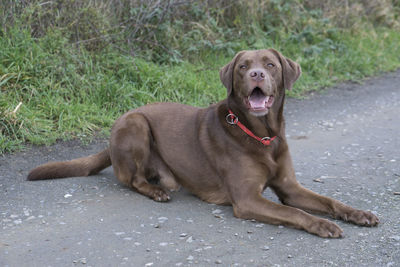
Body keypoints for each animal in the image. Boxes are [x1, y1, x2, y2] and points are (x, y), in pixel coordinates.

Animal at [28, 49, 378, 238]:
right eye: (243, 66)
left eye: (271, 64)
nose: (256, 75)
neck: (261, 135)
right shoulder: (247, 200)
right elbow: (293, 213)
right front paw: (321, 224)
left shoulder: (289, 187)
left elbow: (329, 201)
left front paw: (357, 213)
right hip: (136, 124)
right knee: (132, 179)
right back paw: (156, 190)